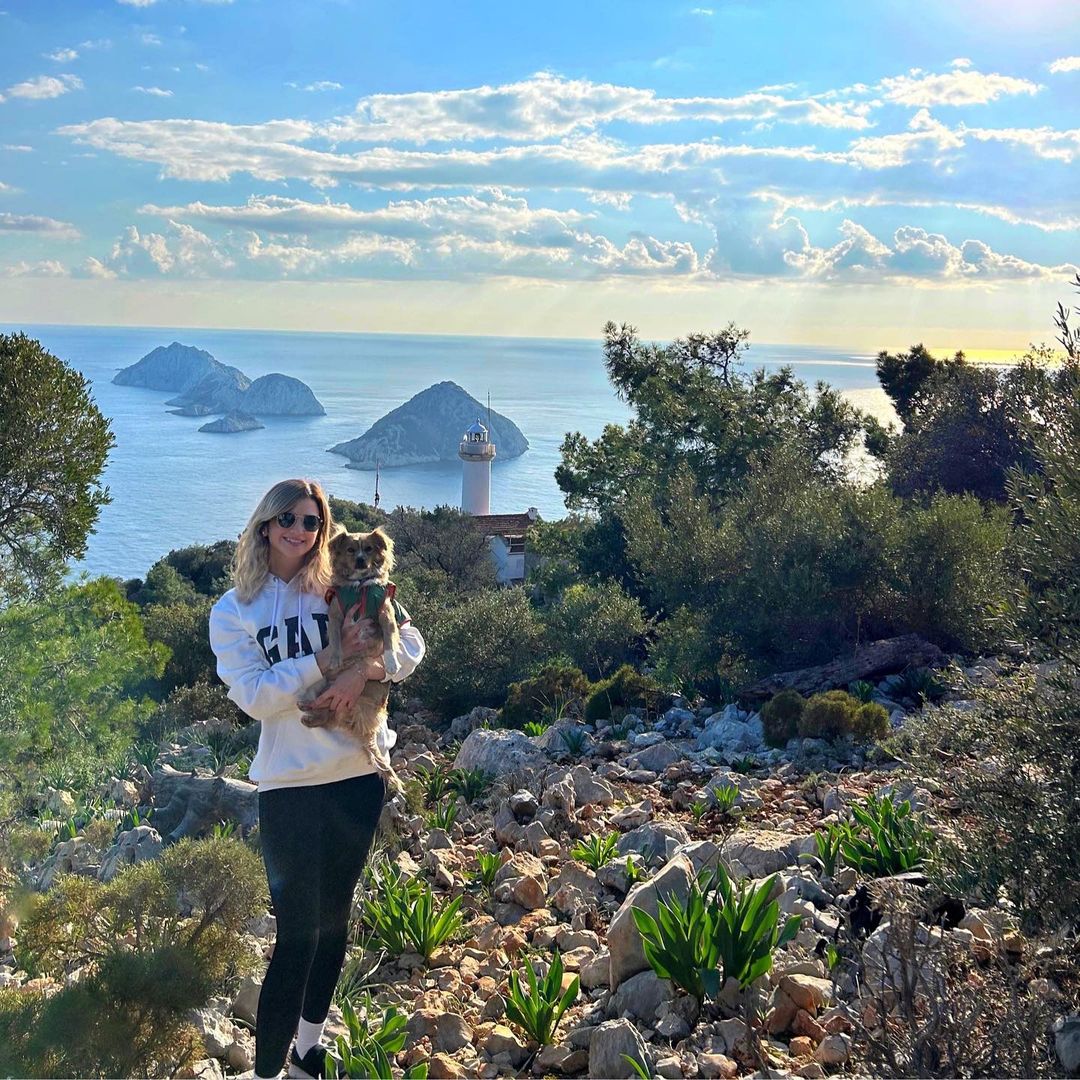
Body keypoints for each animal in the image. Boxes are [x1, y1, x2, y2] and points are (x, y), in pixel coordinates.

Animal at [299, 525, 404, 794]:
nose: (360, 560)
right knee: (326, 715)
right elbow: (336, 638)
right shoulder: (335, 613)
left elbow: (390, 640)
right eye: (350, 550)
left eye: (368, 549)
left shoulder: (386, 613)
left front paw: (391, 663)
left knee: (330, 718)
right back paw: (307, 709)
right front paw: (336, 657)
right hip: (328, 689)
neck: (359, 587)